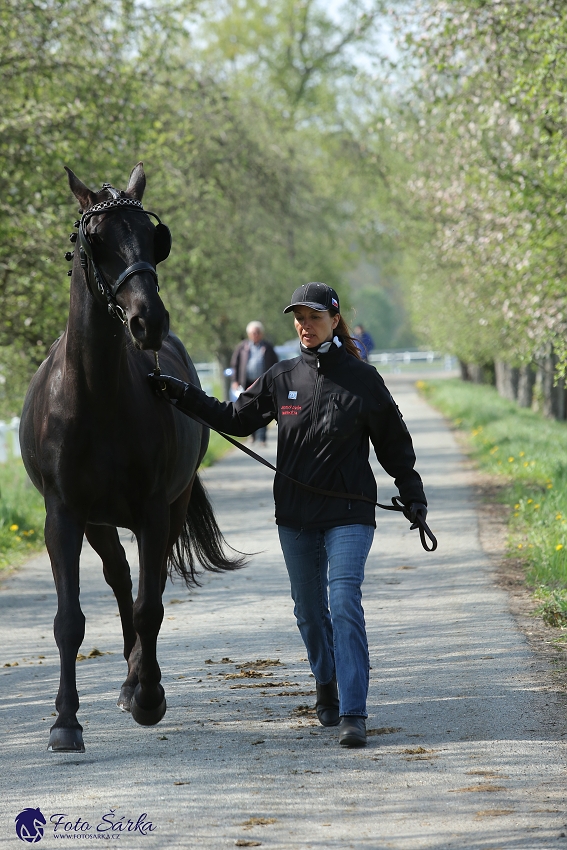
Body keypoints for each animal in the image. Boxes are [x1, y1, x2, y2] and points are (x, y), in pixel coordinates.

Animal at [20, 164, 241, 748]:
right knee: (120, 577)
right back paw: (125, 679)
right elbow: (70, 619)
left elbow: (151, 605)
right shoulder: (64, 514)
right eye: (94, 241)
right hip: (99, 521)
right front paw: (65, 721)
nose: (149, 321)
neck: (96, 395)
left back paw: (140, 680)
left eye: (152, 237)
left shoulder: (152, 510)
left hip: (168, 508)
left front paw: (149, 696)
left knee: (148, 585)